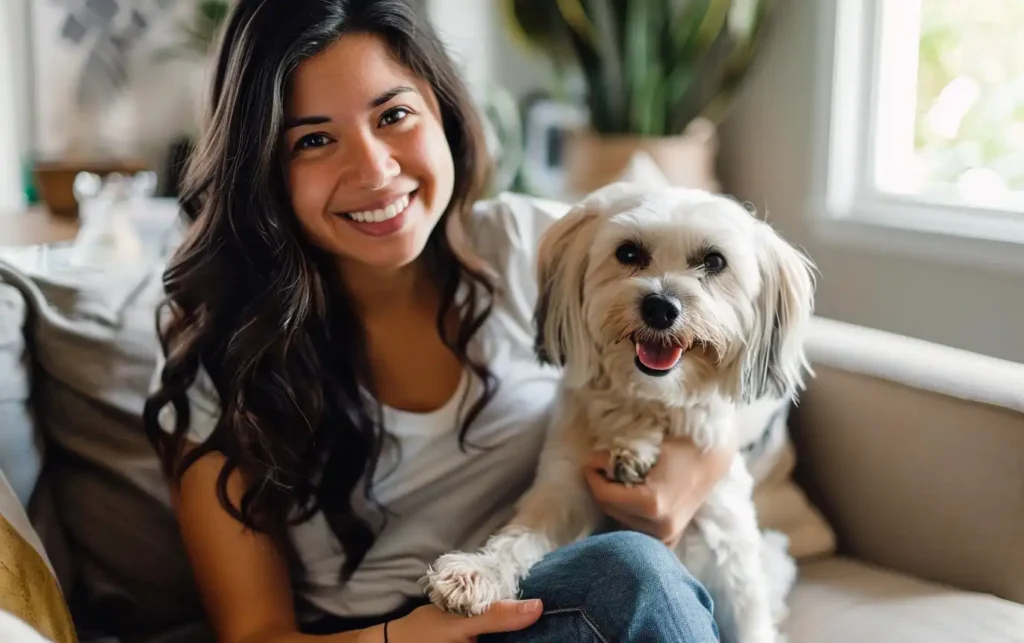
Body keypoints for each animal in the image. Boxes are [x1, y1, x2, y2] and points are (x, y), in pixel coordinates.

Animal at [419, 182, 811, 643]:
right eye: (628, 252)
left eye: (715, 261)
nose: (661, 307)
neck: (648, 402)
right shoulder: (562, 492)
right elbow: (518, 538)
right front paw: (477, 571)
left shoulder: (730, 546)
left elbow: (751, 624)